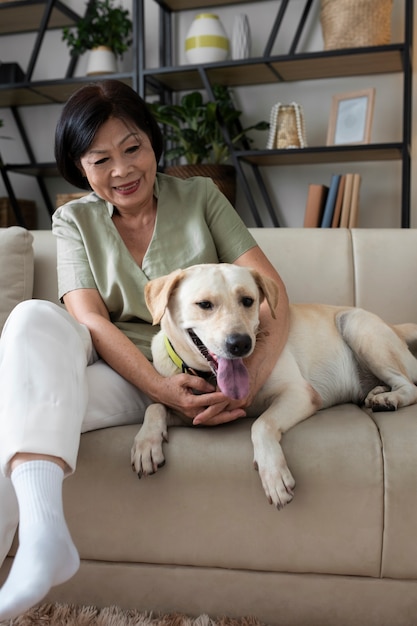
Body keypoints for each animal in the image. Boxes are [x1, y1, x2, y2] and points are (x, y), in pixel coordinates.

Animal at [130, 262, 416, 508]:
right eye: (204, 304)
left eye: (248, 300)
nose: (240, 343)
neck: (209, 377)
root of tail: (394, 327)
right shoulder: (189, 410)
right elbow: (155, 407)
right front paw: (145, 444)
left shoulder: (300, 394)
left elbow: (261, 423)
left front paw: (274, 475)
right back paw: (378, 393)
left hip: (357, 327)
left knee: (409, 385)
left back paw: (389, 398)